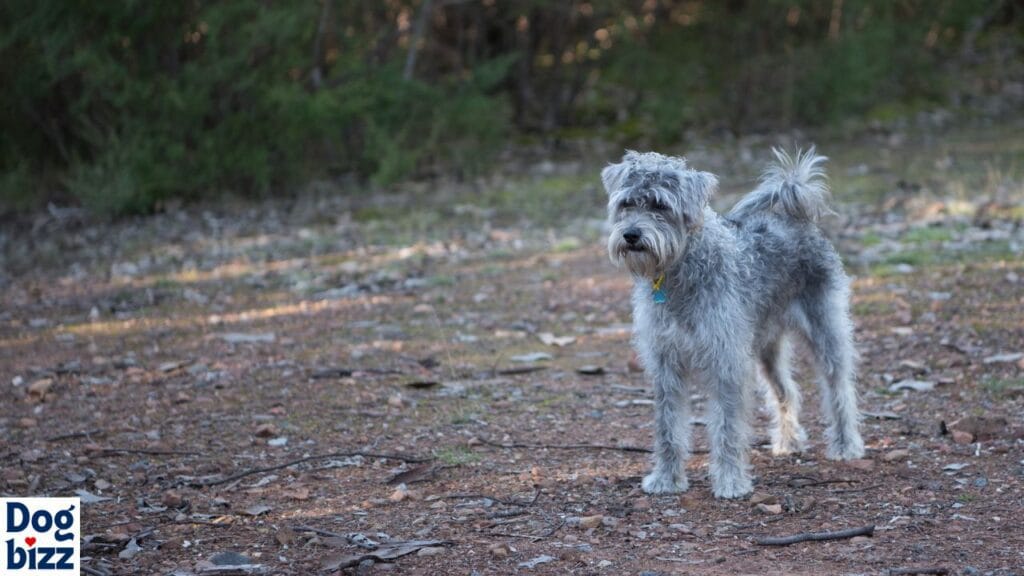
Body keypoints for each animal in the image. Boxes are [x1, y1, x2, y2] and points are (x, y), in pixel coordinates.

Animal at [602, 147, 868, 498]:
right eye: (626, 203)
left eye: (661, 205)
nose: (631, 234)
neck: (680, 272)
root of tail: (796, 217)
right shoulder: (666, 363)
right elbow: (667, 427)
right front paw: (666, 479)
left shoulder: (725, 362)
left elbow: (727, 427)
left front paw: (730, 481)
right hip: (766, 349)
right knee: (786, 392)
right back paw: (788, 441)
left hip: (826, 331)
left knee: (839, 389)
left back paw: (845, 444)